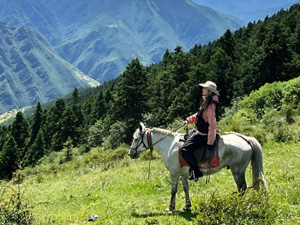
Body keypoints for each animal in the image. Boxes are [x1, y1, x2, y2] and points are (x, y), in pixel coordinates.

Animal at [127, 122, 268, 210]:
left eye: (135, 139)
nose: (130, 153)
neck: (170, 145)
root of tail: (246, 138)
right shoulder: (183, 174)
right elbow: (185, 189)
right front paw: (187, 205)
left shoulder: (174, 173)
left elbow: (173, 190)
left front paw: (170, 207)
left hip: (237, 171)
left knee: (242, 188)